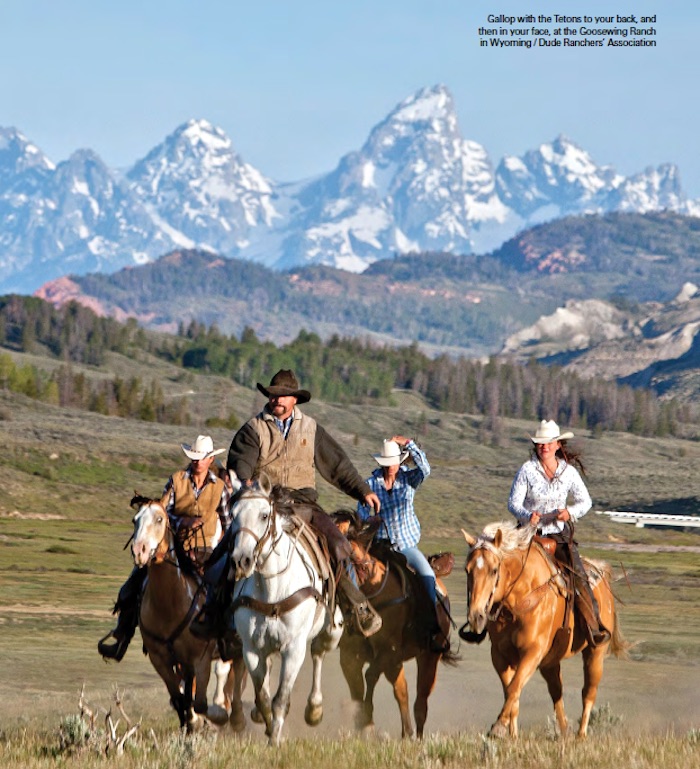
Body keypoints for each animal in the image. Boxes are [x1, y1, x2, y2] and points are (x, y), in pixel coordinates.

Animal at [227, 476, 344, 740]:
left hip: (332, 631)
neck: (272, 589)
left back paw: (314, 709)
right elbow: (263, 698)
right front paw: (269, 726)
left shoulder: (294, 649)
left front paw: (275, 739)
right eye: (232, 514)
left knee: (318, 653)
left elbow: (280, 700)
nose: (241, 561)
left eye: (263, 515)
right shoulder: (251, 649)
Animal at [334, 510, 456, 736]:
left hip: (428, 657)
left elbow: (373, 677)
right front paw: (363, 724)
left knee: (420, 702)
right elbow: (358, 690)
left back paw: (415, 735)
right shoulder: (349, 656)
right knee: (403, 691)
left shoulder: (389, 651)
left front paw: (369, 720)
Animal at [462, 520, 632, 736]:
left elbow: (514, 687)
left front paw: (499, 727)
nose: (476, 616)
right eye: (467, 570)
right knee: (557, 691)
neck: (519, 599)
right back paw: (565, 732)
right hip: (550, 662)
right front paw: (512, 736)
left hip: (595, 652)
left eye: (494, 570)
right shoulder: (500, 655)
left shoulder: (533, 651)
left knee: (588, 692)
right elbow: (511, 691)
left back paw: (580, 736)